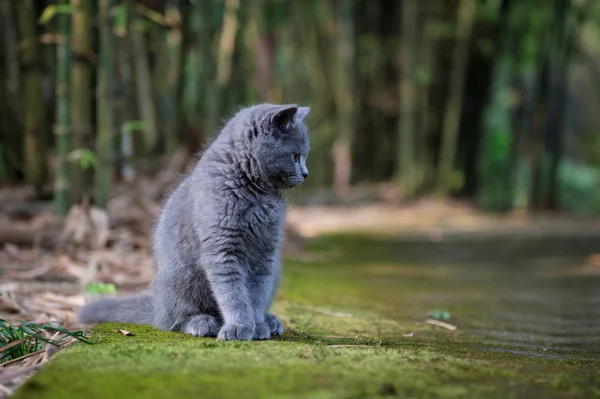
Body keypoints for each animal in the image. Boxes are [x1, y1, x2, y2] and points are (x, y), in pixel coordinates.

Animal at [77, 103, 312, 340]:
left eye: (303, 156)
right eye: (295, 156)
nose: (306, 173)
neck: (255, 194)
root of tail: (156, 307)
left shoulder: (266, 252)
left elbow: (257, 293)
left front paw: (258, 325)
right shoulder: (222, 249)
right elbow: (233, 294)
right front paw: (239, 327)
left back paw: (270, 321)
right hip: (181, 276)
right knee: (171, 321)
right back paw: (202, 323)